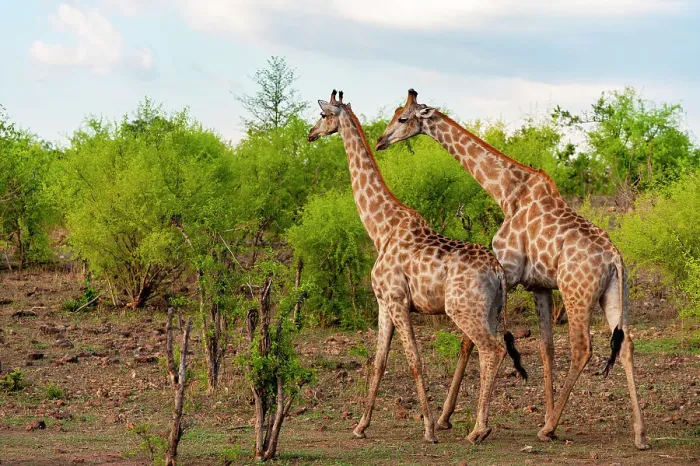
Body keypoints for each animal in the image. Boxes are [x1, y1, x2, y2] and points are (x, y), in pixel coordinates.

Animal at [307, 90, 527, 444]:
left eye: (323, 115)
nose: (310, 134)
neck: (380, 228)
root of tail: (497, 273)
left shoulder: (398, 301)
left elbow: (415, 361)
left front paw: (428, 429)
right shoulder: (383, 303)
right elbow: (379, 362)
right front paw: (361, 426)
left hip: (462, 310)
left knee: (491, 351)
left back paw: (478, 430)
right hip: (492, 311)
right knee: (490, 351)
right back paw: (479, 425)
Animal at [375, 89, 649, 450]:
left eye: (403, 118)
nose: (381, 141)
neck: (506, 192)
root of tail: (614, 259)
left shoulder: (506, 269)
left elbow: (468, 343)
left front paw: (449, 419)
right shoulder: (540, 286)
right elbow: (546, 349)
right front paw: (547, 416)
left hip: (576, 294)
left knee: (582, 348)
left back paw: (549, 428)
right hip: (615, 294)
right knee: (627, 344)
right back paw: (639, 434)